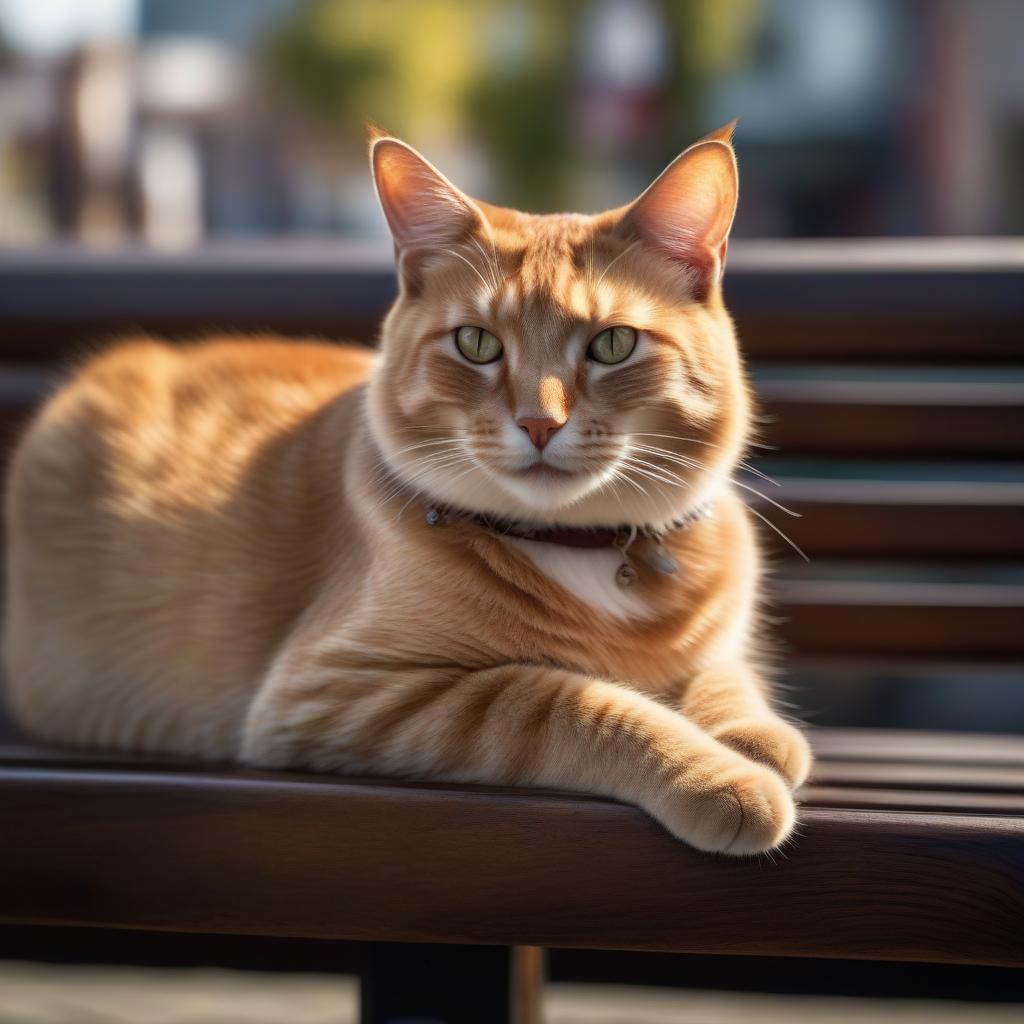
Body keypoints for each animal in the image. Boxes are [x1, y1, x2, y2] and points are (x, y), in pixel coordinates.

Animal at [4, 123, 811, 851]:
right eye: (477, 344)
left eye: (612, 344)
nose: (539, 423)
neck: (588, 552)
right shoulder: (344, 690)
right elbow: (569, 699)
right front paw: (718, 775)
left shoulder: (716, 649)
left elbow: (724, 678)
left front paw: (755, 735)